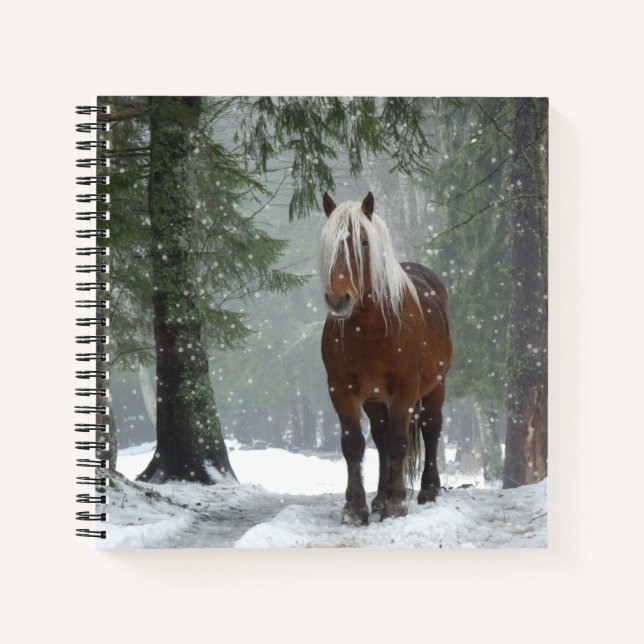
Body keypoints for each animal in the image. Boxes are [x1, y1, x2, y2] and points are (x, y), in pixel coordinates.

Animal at [320, 191, 452, 525]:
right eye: (328, 244)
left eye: (364, 242)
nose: (338, 299)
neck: (370, 327)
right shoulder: (341, 390)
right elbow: (354, 444)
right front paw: (356, 507)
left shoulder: (406, 388)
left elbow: (398, 441)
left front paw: (396, 502)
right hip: (375, 399)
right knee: (379, 439)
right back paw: (379, 497)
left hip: (435, 386)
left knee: (430, 429)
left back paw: (427, 490)